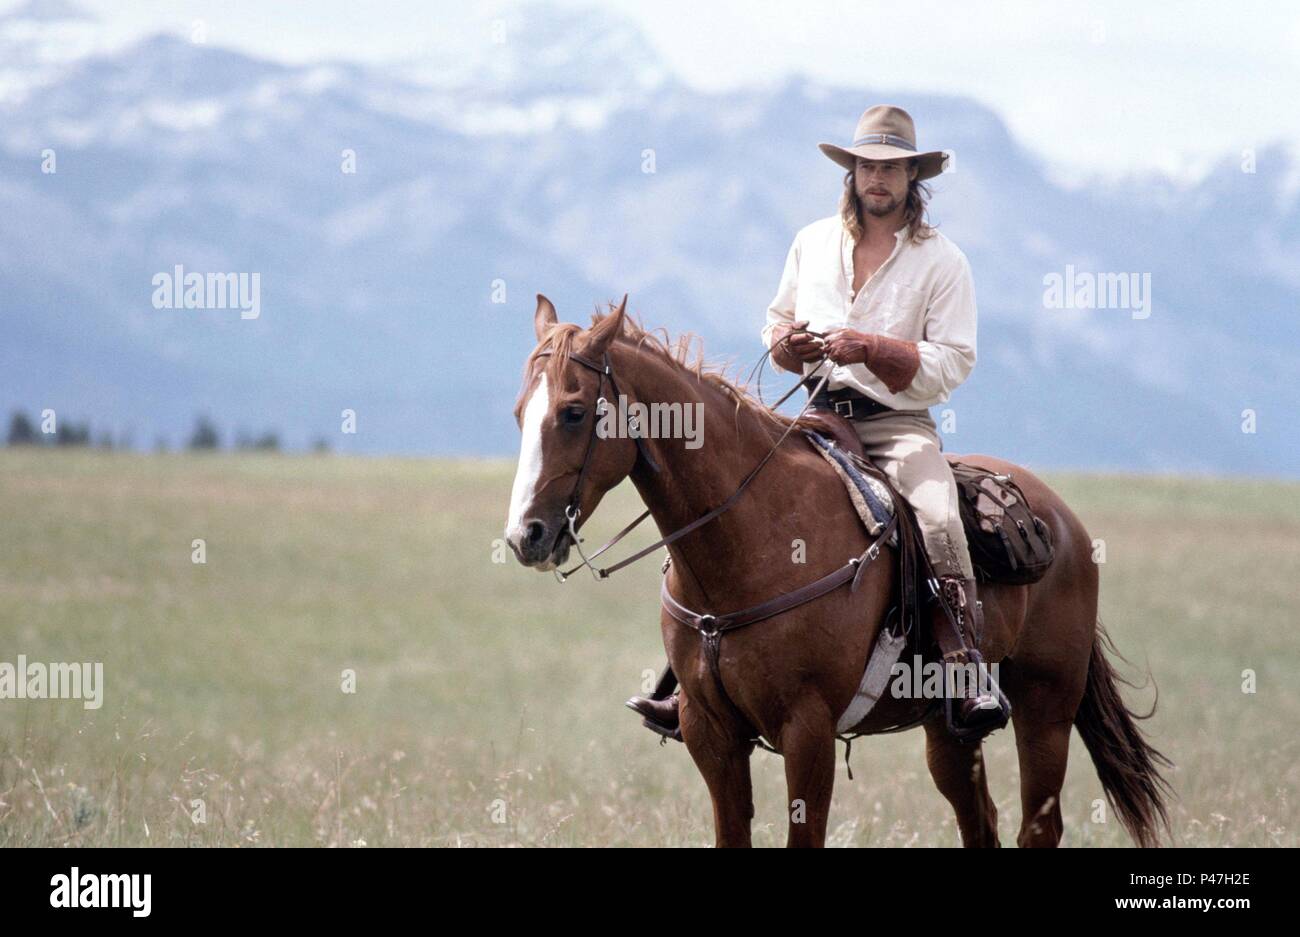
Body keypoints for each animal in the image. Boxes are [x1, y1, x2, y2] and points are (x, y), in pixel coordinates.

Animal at [501, 296, 1175, 842]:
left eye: (573, 412)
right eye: (518, 413)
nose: (525, 536)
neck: (749, 540)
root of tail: (1064, 523)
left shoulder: (808, 730)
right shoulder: (708, 731)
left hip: (1045, 708)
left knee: (1039, 826)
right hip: (949, 733)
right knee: (978, 820)